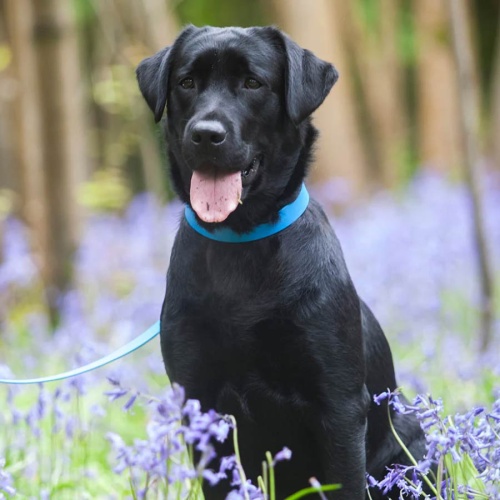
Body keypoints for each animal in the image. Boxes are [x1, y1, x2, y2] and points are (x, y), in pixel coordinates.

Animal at [137, 25, 426, 498]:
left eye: (253, 83)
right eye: (187, 82)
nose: (205, 134)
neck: (240, 239)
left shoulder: (338, 406)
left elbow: (346, 481)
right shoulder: (199, 402)